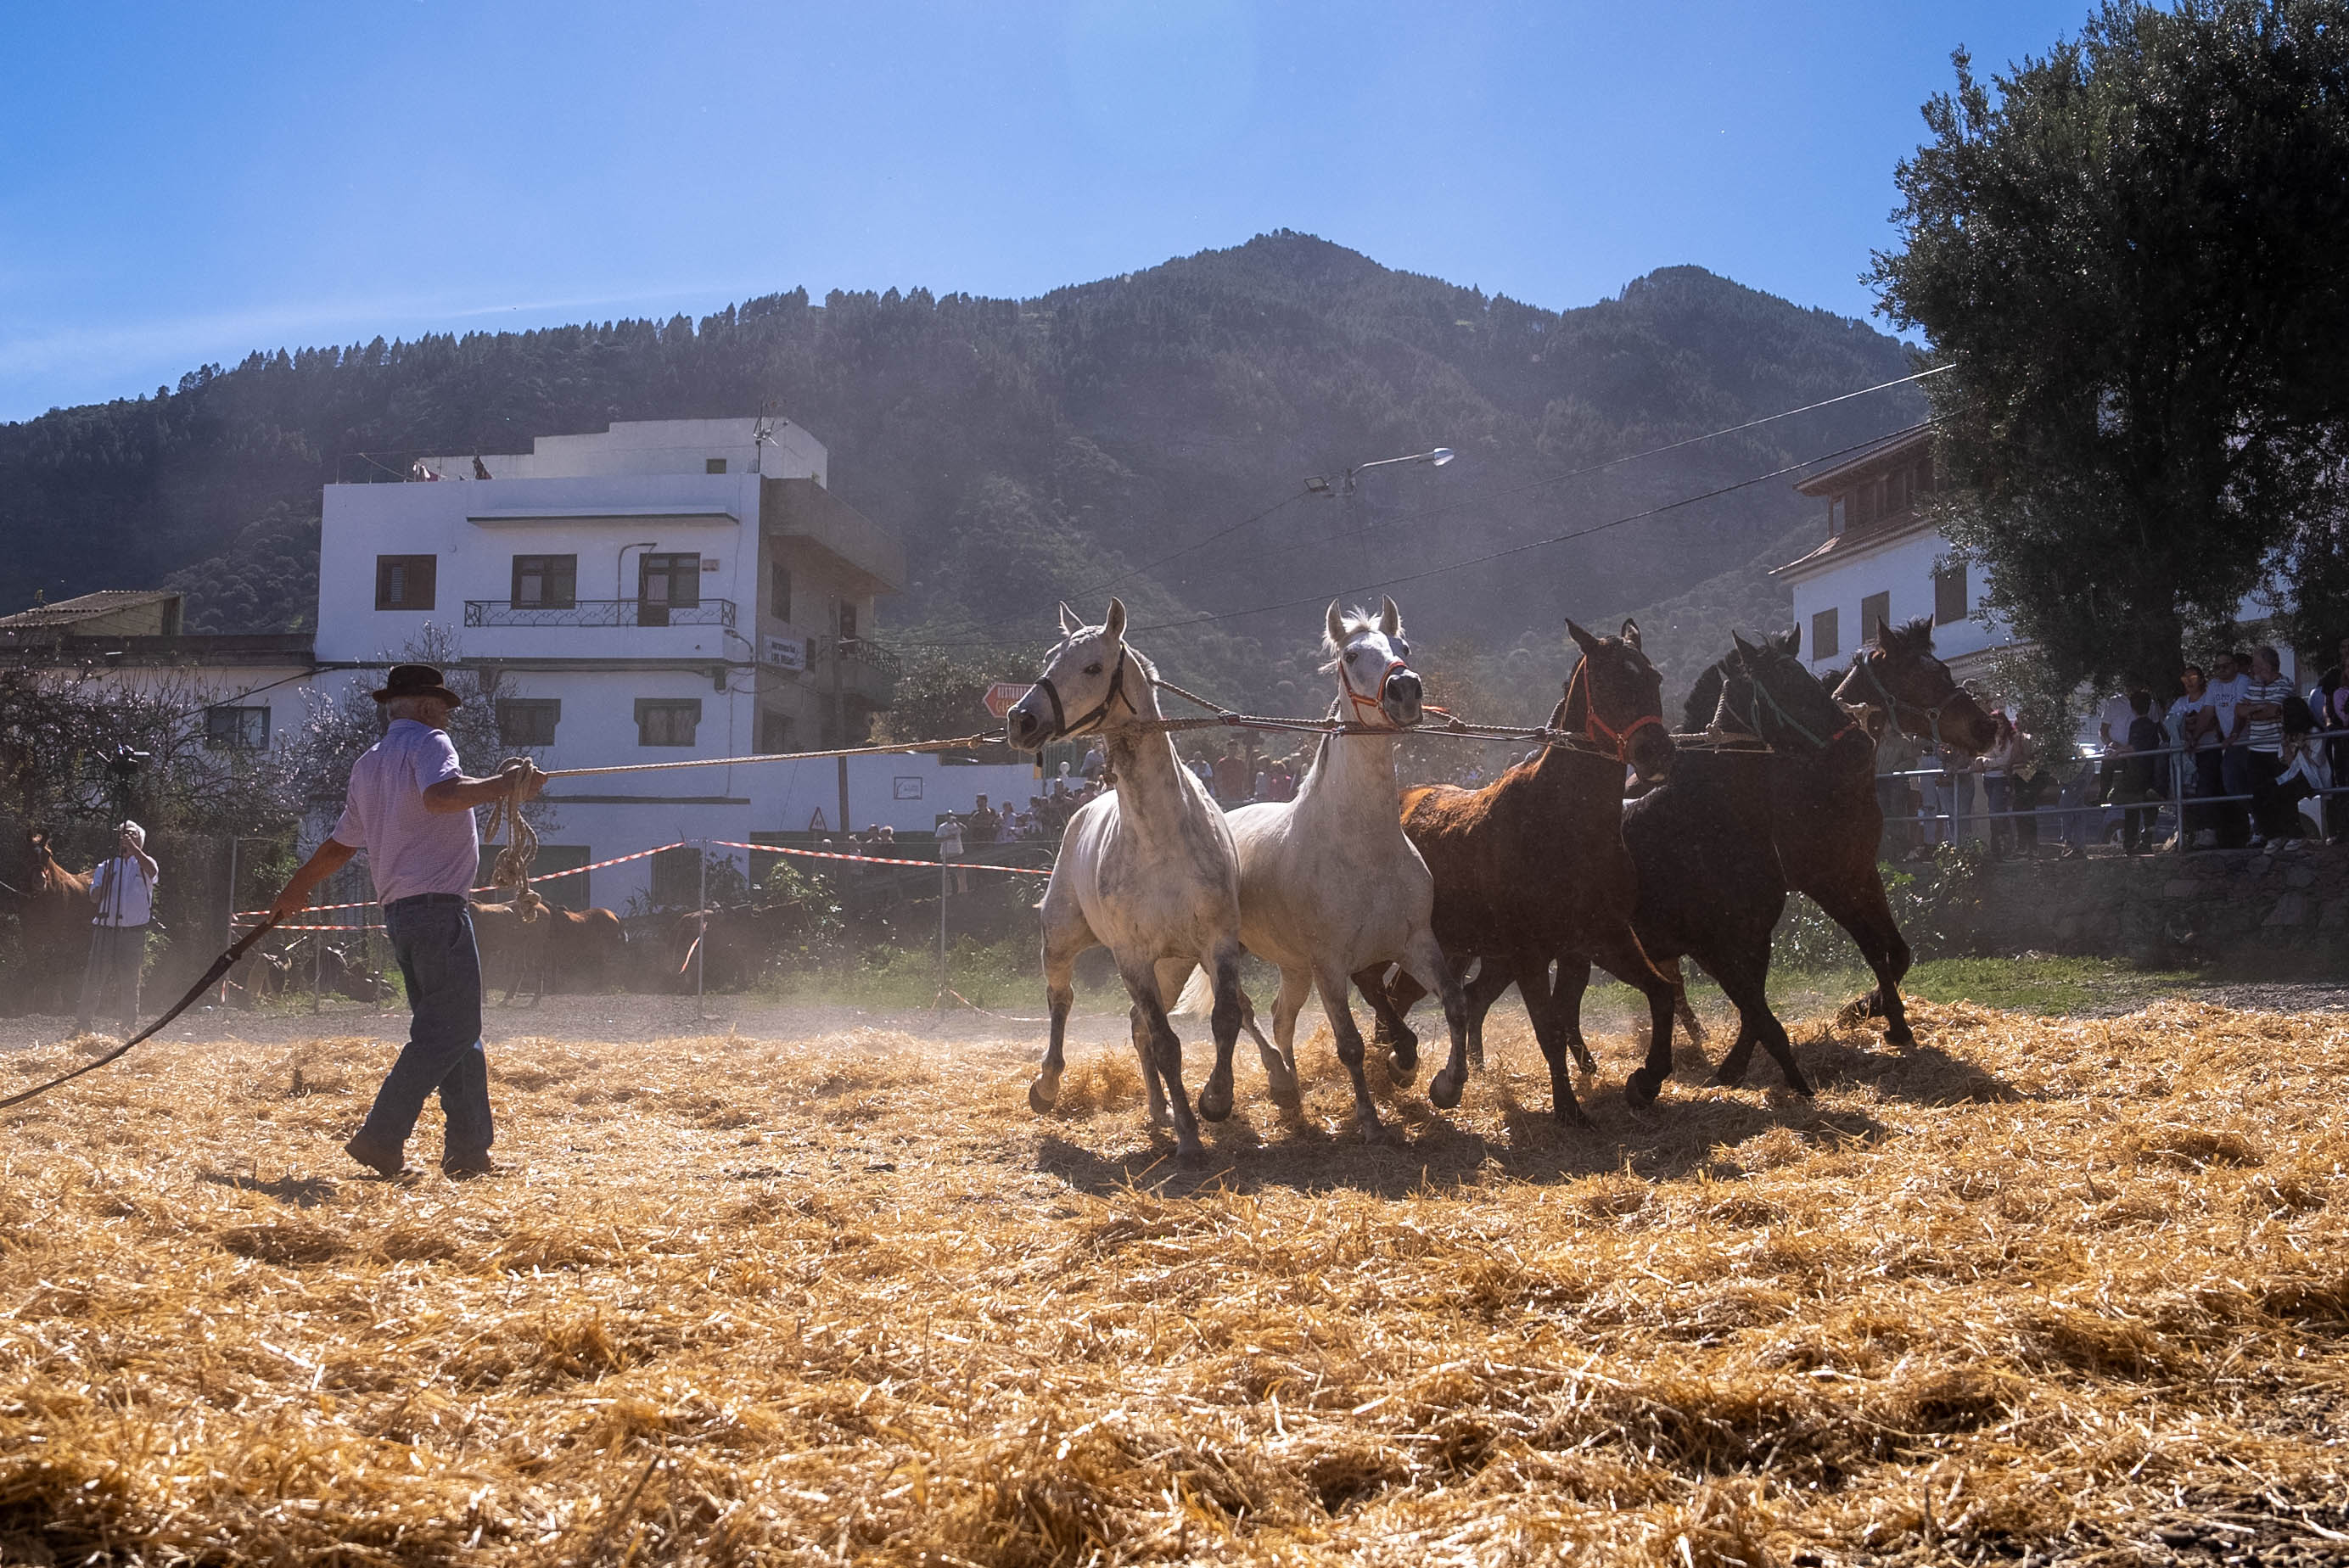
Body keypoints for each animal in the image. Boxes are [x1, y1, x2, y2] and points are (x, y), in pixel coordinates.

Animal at [995, 601, 1277, 1164]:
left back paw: (1158, 1108)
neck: (1159, 842)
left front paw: (1215, 1100)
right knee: (1063, 1001)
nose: (1021, 720)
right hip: (1063, 941)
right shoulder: (1133, 957)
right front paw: (1191, 1135)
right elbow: (1167, 1043)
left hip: (1171, 967)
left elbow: (1225, 1018)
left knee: (1138, 1024)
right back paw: (1049, 1087)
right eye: (1050, 657)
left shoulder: (1217, 944)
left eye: (1092, 667)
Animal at [1174, 601, 1466, 1140]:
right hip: (1228, 956)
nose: (1405, 690)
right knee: (1244, 1012)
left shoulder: (1415, 943)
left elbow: (1455, 1005)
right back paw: (1263, 1085)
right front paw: (1370, 1122)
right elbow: (1349, 1043)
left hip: (1293, 966)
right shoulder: (1332, 965)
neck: (1364, 851)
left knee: (1280, 1017)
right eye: (1350, 655)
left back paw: (1290, 1088)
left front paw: (1442, 1085)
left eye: (1403, 647)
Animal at [1371, 619, 1681, 1122]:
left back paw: (1408, 1067)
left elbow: (1659, 991)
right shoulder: (1529, 953)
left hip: (1451, 949)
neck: (1561, 822)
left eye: (1653, 678)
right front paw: (1569, 1110)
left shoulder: (1601, 938)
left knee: (1411, 997)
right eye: (1606, 682)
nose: (1655, 752)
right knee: (1375, 989)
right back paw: (1404, 1061)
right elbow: (1550, 1026)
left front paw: (1646, 1081)